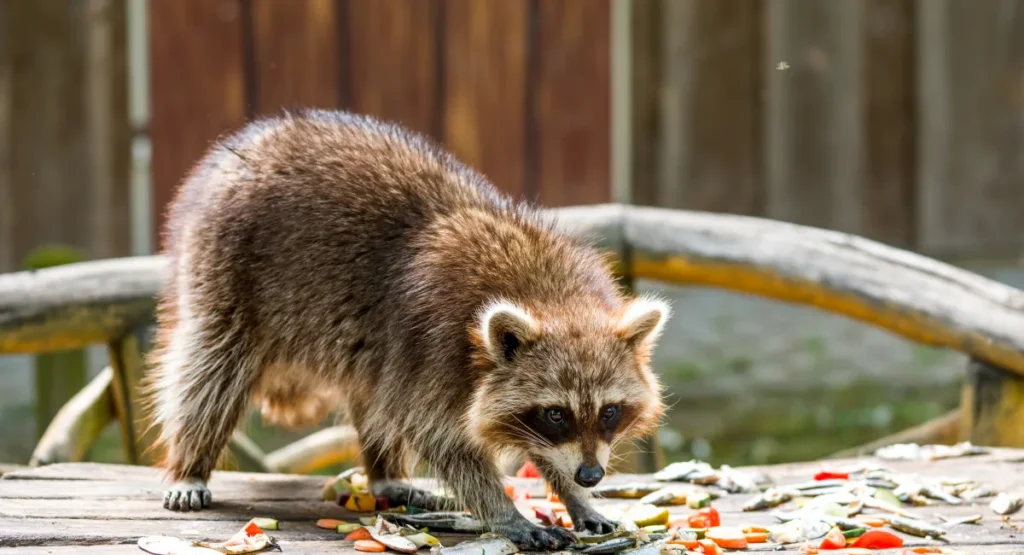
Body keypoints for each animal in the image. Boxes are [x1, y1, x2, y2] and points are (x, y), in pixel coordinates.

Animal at [144, 109, 669, 550]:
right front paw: (505, 511)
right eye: (556, 413)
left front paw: (571, 495)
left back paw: (384, 472)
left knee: (373, 392)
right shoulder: (435, 344)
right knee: (212, 370)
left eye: (609, 411)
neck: (550, 297)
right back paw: (192, 464)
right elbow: (442, 437)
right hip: (225, 269)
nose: (590, 476)